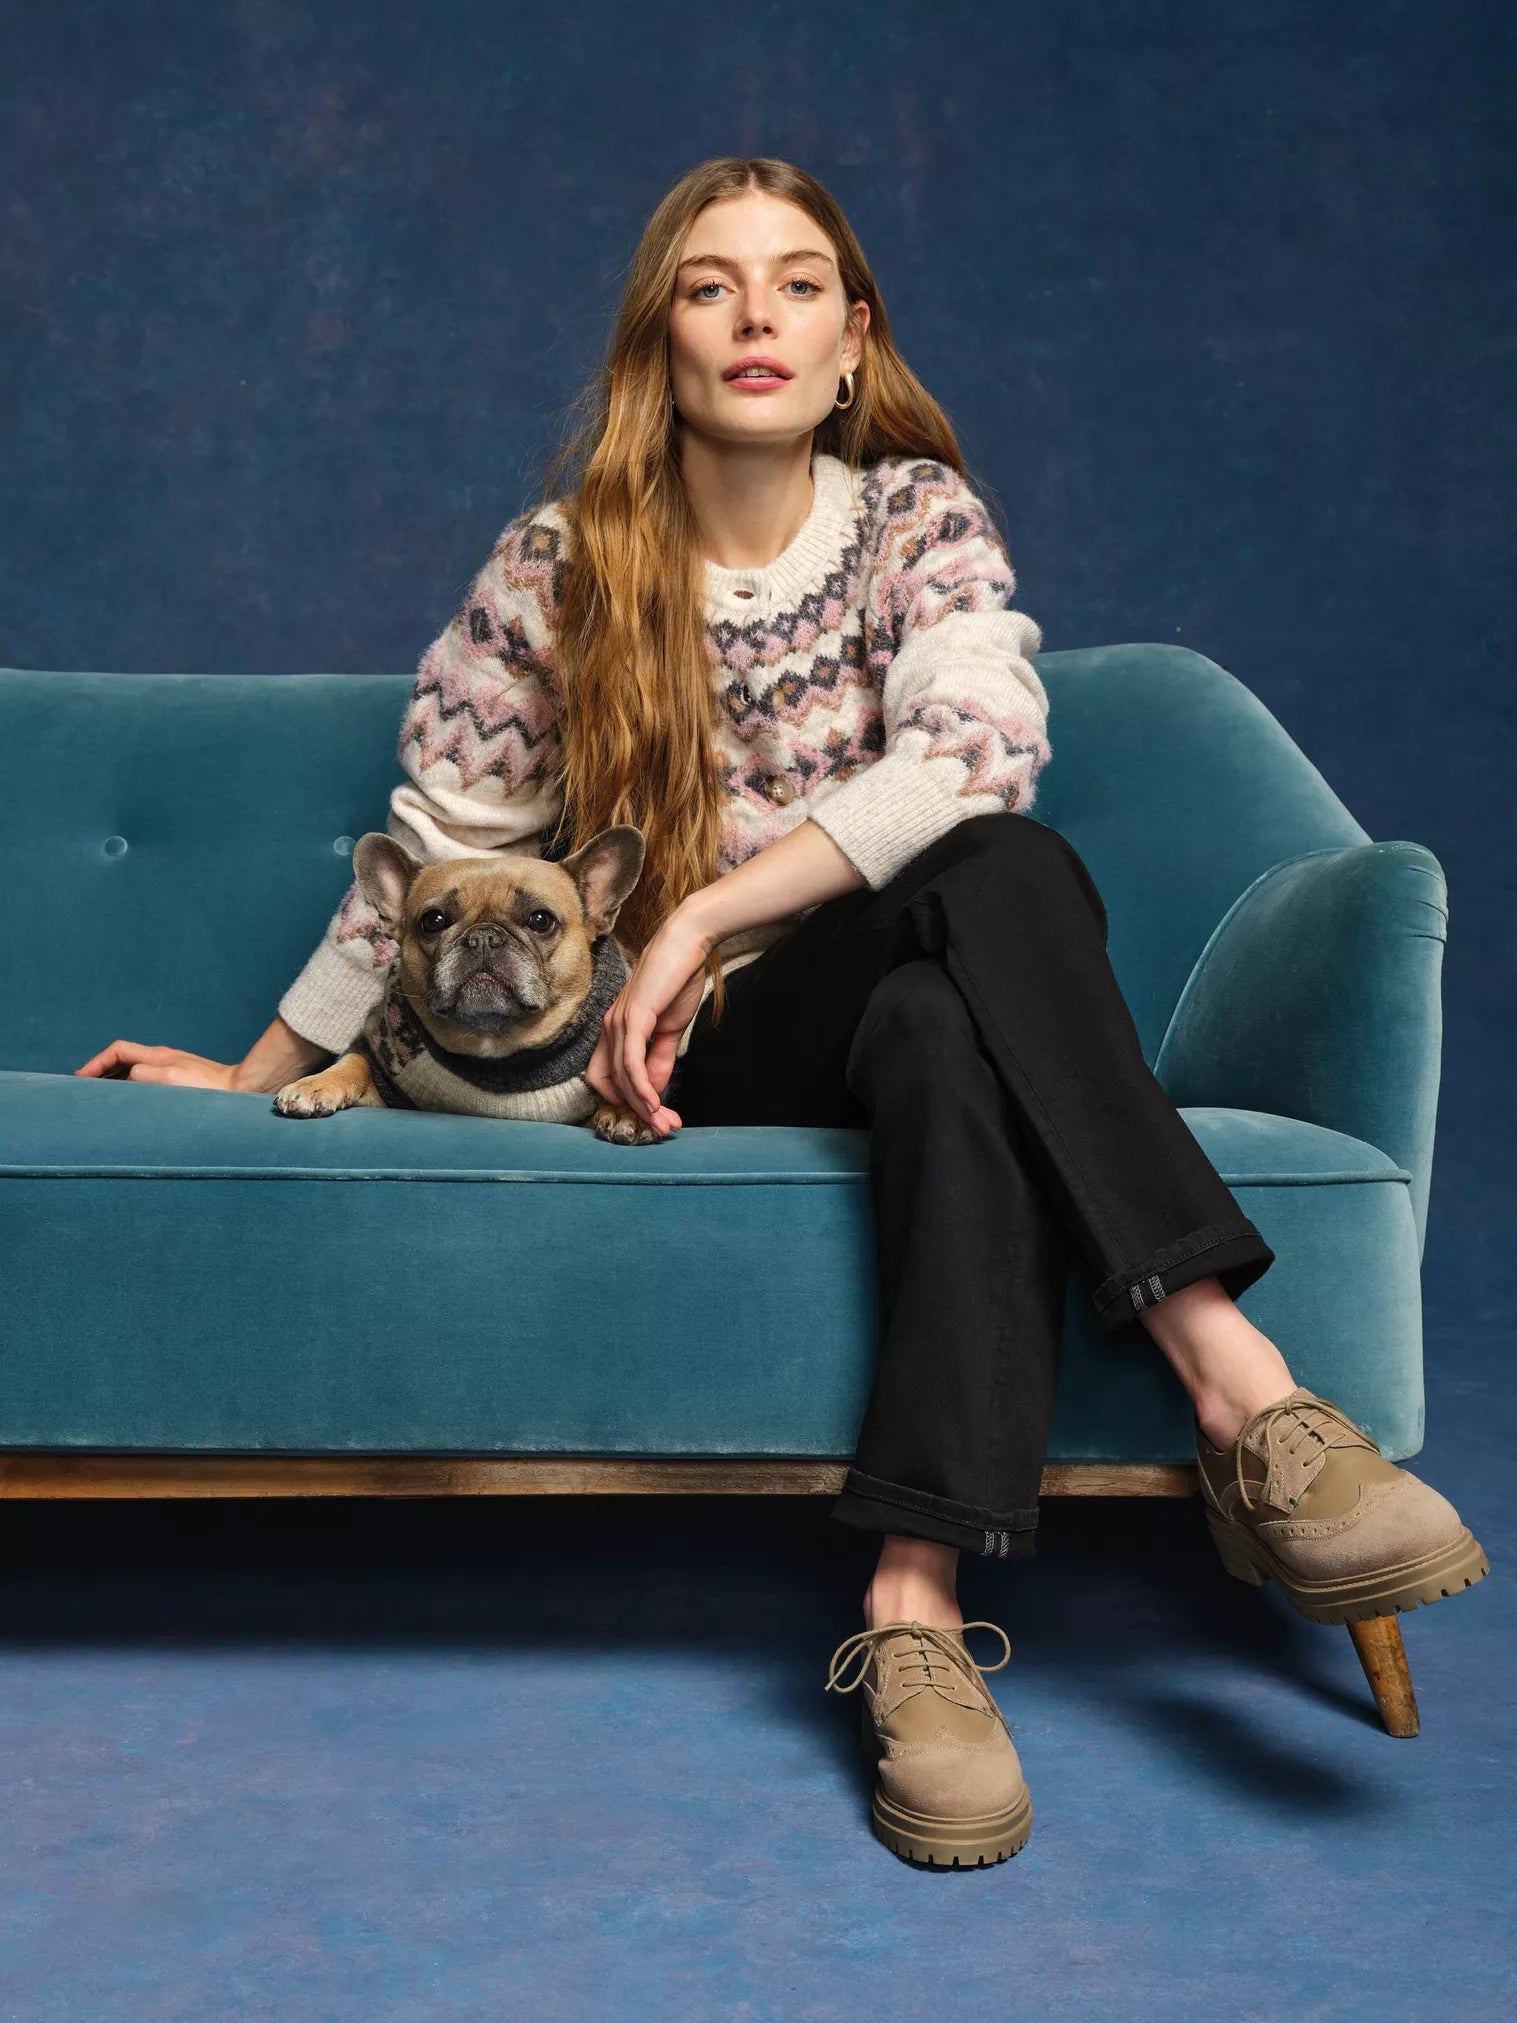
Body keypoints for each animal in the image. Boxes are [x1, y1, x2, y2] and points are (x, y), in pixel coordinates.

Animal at [272, 825, 668, 1145]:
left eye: (541, 920)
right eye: (433, 921)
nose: (482, 938)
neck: (494, 1044)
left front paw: (629, 1111)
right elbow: (355, 1062)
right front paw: (316, 1084)